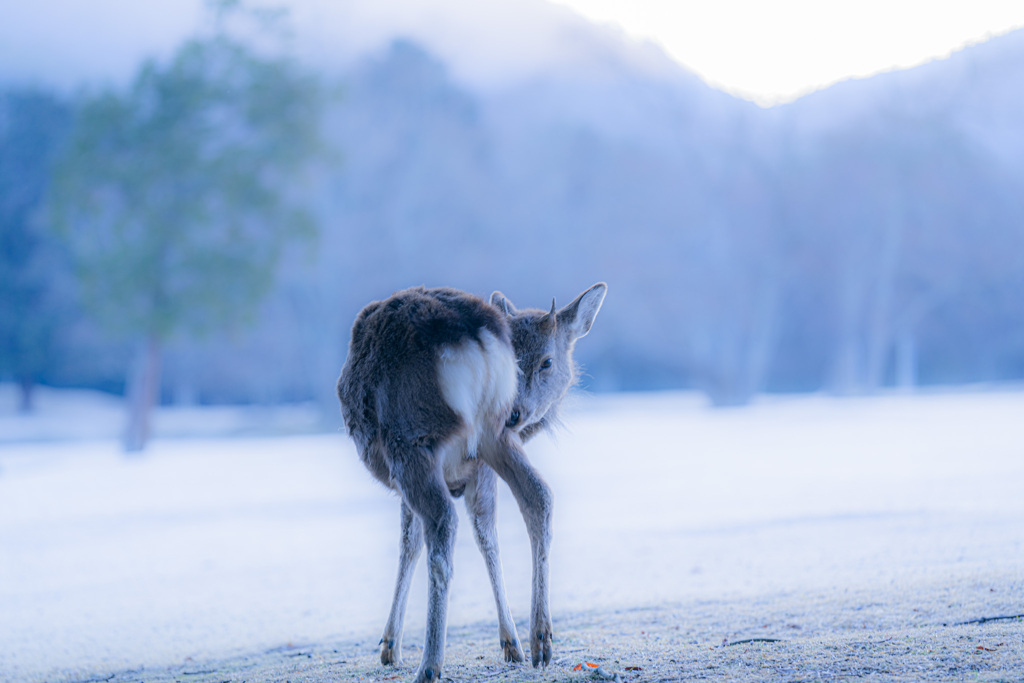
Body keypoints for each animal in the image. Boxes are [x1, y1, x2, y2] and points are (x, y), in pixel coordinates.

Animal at [339, 282, 602, 683]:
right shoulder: (480, 465)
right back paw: (540, 640)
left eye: (547, 361)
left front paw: (389, 646)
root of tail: (476, 335)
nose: (518, 413)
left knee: (442, 524)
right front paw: (511, 643)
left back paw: (430, 664)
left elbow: (409, 543)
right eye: (520, 359)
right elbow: (486, 537)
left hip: (413, 440)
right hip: (493, 434)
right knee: (539, 496)